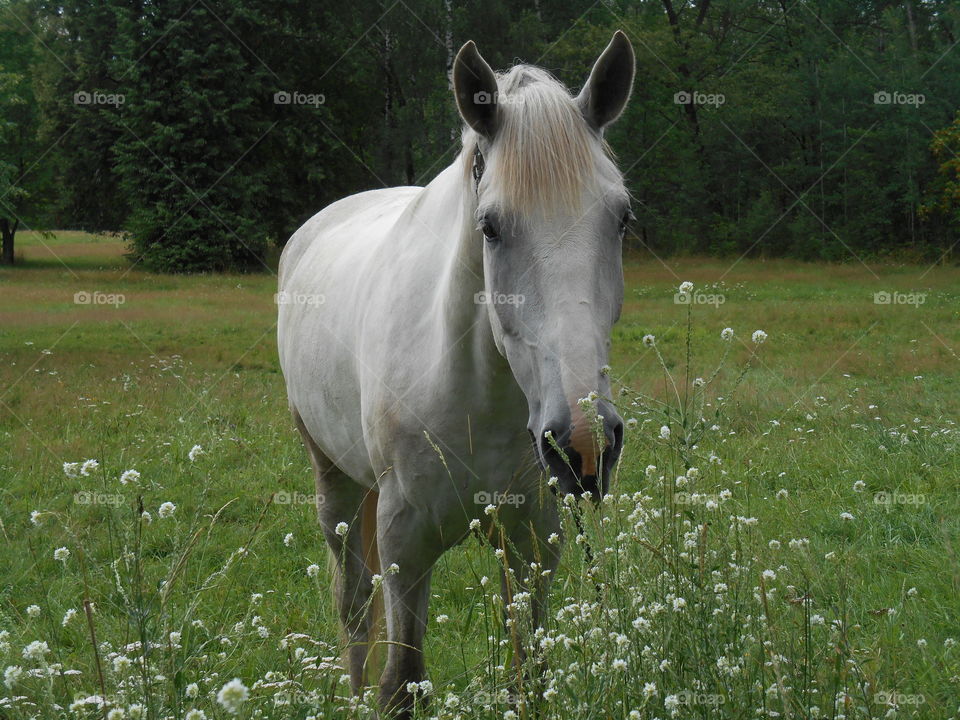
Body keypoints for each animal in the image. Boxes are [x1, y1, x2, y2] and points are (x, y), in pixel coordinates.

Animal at [278, 31, 636, 712]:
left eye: (622, 219)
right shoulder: (406, 540)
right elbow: (401, 683)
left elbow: (530, 677)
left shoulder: (530, 540)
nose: (582, 443)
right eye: (490, 227)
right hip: (333, 482)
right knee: (354, 605)